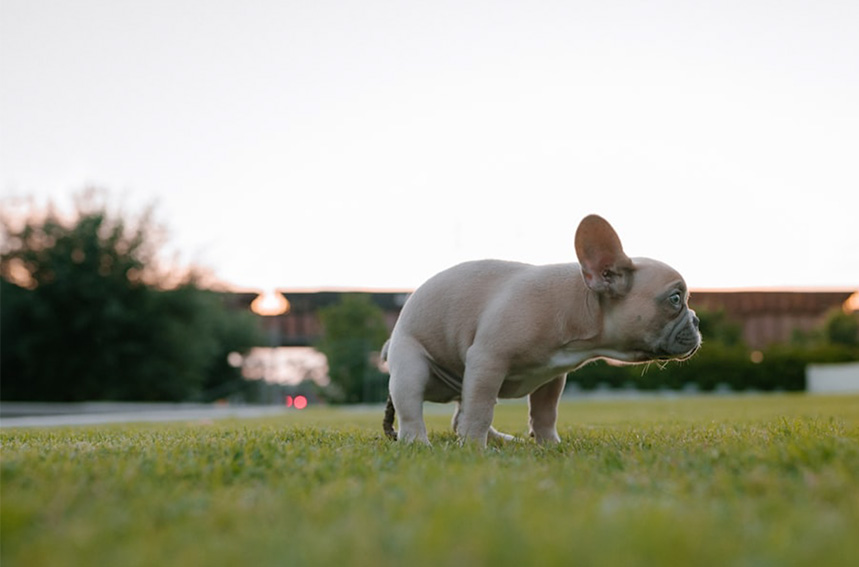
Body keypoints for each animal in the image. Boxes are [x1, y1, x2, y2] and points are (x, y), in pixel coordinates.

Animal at [382, 215, 700, 446]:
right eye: (675, 299)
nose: (697, 320)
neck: (580, 304)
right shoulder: (488, 361)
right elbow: (481, 409)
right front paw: (473, 447)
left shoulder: (552, 376)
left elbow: (545, 412)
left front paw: (549, 444)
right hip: (411, 366)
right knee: (413, 408)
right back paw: (418, 442)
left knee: (462, 410)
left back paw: (499, 439)